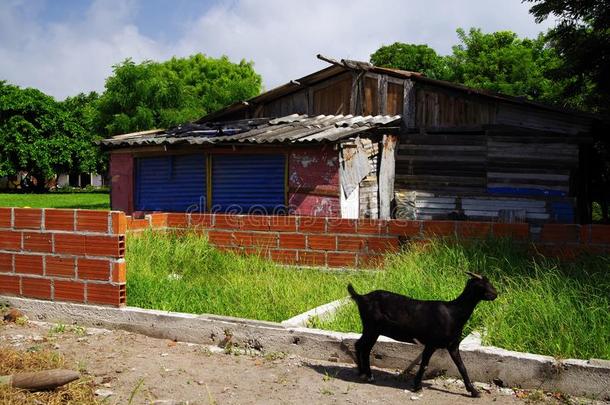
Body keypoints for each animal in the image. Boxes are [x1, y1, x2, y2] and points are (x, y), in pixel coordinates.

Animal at [344, 272, 496, 398]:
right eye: (483, 285)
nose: (496, 294)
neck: (453, 313)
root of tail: (362, 297)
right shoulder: (431, 343)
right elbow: (424, 365)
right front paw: (417, 386)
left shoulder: (453, 346)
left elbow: (462, 367)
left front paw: (474, 391)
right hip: (372, 328)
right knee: (363, 347)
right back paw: (368, 375)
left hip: (371, 330)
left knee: (361, 346)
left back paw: (362, 373)